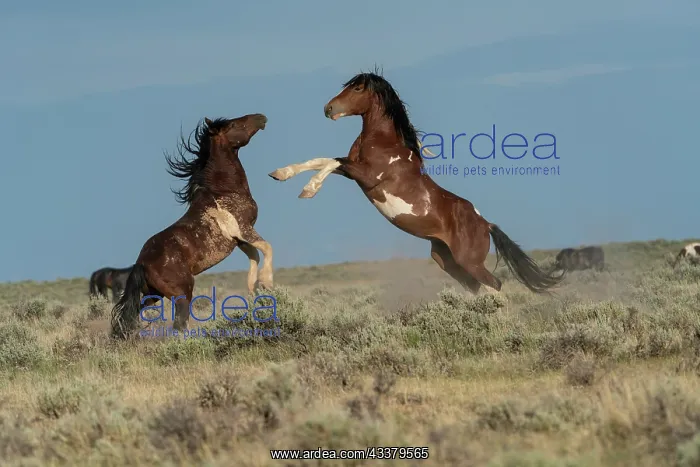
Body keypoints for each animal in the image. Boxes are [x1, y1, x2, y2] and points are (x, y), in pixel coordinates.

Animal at [111, 114, 272, 339]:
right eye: (232, 124)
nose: (260, 117)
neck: (224, 190)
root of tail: (141, 262)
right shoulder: (244, 229)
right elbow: (267, 248)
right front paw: (268, 282)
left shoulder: (240, 240)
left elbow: (254, 257)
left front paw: (254, 289)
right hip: (182, 293)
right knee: (179, 325)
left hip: (151, 295)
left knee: (130, 315)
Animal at [269, 70, 564, 295]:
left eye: (358, 87)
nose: (328, 109)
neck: (384, 142)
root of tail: (485, 223)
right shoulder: (353, 171)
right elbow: (320, 160)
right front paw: (280, 173)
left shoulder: (366, 175)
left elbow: (330, 162)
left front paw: (308, 190)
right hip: (447, 261)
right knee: (477, 288)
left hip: (469, 261)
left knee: (495, 285)